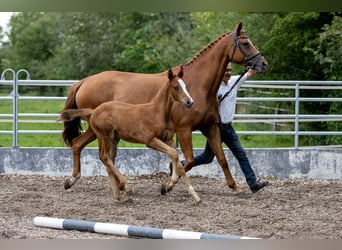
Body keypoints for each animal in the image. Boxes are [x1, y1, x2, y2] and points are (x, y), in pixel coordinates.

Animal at [58, 68, 200, 203]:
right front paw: (175, 188)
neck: (157, 112)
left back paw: (117, 195)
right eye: (176, 87)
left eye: (185, 86)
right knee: (104, 156)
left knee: (105, 158)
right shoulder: (150, 141)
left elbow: (176, 159)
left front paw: (189, 193)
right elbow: (174, 154)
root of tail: (94, 111)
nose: (190, 102)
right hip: (104, 136)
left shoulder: (169, 139)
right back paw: (125, 186)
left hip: (111, 138)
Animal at [62, 22, 268, 192]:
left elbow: (222, 158)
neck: (197, 85)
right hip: (99, 130)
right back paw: (80, 181)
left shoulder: (210, 127)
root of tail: (84, 81)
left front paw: (235, 186)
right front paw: (167, 185)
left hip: (107, 132)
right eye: (245, 43)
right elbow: (188, 161)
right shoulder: (184, 130)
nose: (263, 64)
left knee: (87, 148)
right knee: (86, 148)